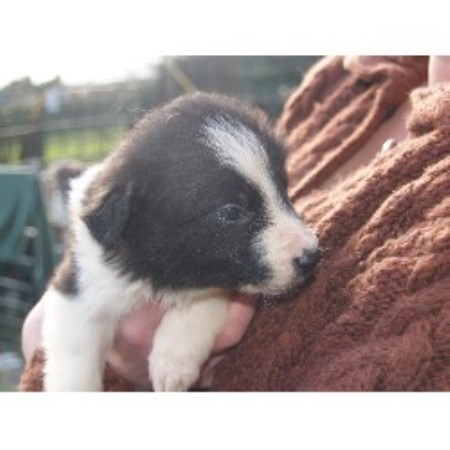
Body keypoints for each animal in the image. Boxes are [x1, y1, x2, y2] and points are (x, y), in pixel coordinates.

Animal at [42, 92, 320, 390]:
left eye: (283, 192)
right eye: (231, 212)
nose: (313, 256)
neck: (156, 274)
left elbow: (202, 303)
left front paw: (172, 362)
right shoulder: (78, 284)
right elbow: (75, 360)